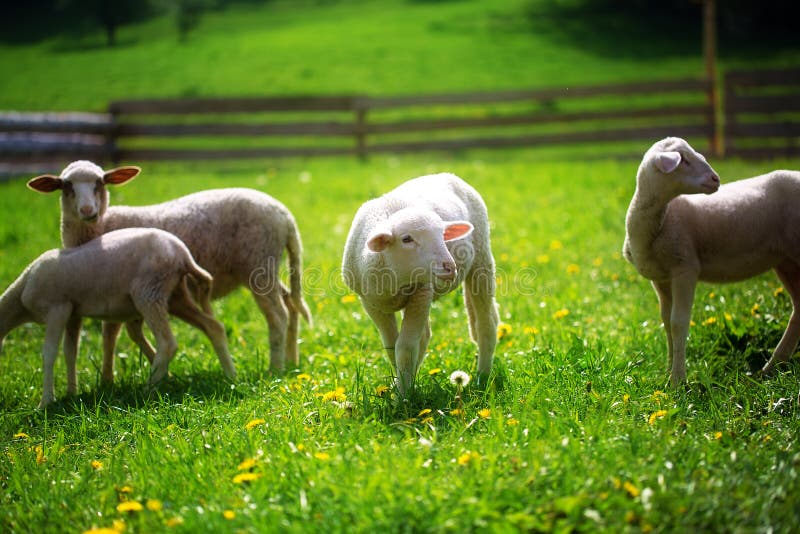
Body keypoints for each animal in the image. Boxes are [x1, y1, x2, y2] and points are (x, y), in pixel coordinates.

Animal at [0, 227, 234, 410]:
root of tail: (184, 255)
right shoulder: (72, 312)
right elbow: (70, 351)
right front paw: (70, 392)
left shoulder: (57, 308)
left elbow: (49, 353)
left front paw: (46, 402)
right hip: (175, 295)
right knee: (213, 326)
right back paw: (231, 375)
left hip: (149, 292)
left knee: (168, 342)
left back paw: (148, 389)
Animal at [28, 161, 310, 384]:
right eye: (66, 186)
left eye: (100, 182)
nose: (88, 211)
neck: (100, 227)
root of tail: (286, 217)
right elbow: (118, 335)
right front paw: (114, 379)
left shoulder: (112, 286)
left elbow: (111, 335)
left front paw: (109, 380)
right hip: (264, 268)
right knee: (290, 302)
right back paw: (291, 360)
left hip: (258, 264)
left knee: (278, 316)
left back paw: (275, 369)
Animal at [340, 173, 496, 398]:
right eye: (407, 239)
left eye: (443, 235)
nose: (450, 267)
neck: (395, 281)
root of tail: (447, 175)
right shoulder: (371, 303)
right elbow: (391, 346)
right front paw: (401, 385)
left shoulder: (422, 291)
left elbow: (405, 348)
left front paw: (403, 398)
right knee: (426, 336)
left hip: (481, 260)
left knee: (485, 325)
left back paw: (482, 377)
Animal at [624, 135, 800, 386]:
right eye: (684, 160)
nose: (716, 179)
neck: (660, 221)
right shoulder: (661, 278)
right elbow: (666, 322)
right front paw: (668, 372)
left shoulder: (685, 268)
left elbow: (678, 323)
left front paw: (677, 381)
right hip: (786, 261)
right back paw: (772, 368)